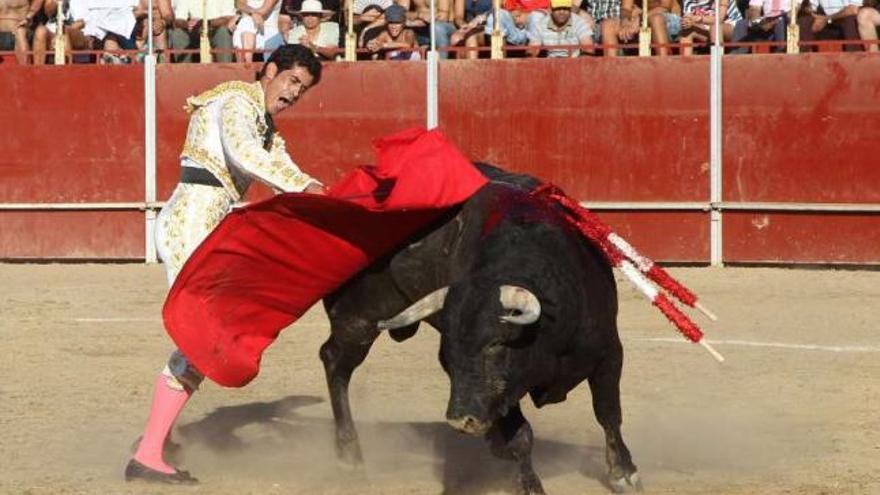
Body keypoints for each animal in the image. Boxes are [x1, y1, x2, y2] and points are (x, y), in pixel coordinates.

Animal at [320, 165, 644, 494]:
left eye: (496, 344)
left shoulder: (608, 350)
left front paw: (624, 473)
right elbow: (521, 435)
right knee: (335, 362)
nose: (460, 421)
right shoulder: (503, 390)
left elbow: (607, 412)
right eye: (445, 357)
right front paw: (528, 483)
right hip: (356, 319)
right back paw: (349, 454)